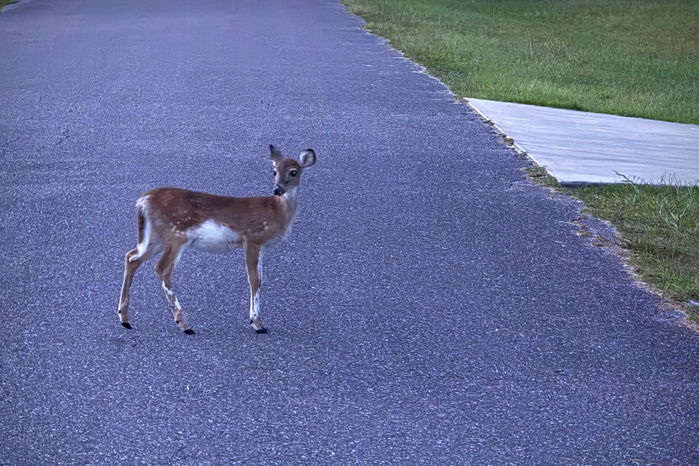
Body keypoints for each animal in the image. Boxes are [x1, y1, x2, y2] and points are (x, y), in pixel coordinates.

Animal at [117, 145, 316, 335]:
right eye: (274, 171)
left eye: (293, 172)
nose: (277, 189)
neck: (276, 211)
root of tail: (143, 200)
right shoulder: (253, 238)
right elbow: (254, 280)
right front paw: (257, 323)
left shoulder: (260, 245)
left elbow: (260, 279)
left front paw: (258, 322)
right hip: (177, 234)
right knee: (161, 268)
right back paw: (184, 325)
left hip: (155, 237)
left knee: (131, 257)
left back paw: (125, 319)